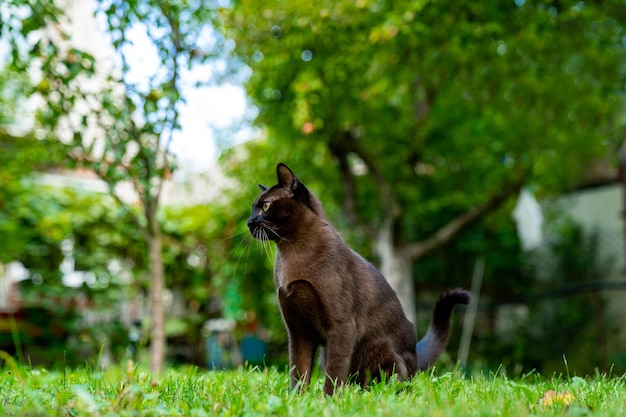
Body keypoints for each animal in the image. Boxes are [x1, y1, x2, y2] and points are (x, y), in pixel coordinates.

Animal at [245, 162, 468, 394]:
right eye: (253, 208)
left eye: (266, 206)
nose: (249, 222)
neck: (291, 250)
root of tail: (416, 355)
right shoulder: (298, 331)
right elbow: (298, 371)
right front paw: (298, 398)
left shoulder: (341, 326)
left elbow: (334, 373)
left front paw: (329, 399)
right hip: (326, 353)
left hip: (385, 356)